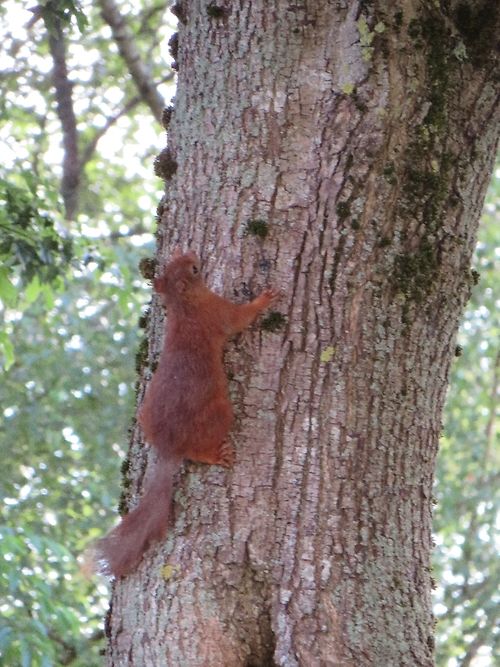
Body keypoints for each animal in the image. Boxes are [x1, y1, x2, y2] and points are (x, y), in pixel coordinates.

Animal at [94, 249, 278, 577]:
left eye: (178, 262)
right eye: (193, 270)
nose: (192, 253)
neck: (183, 306)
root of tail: (169, 446)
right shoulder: (217, 312)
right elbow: (240, 319)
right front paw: (263, 300)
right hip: (220, 413)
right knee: (199, 451)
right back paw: (217, 455)